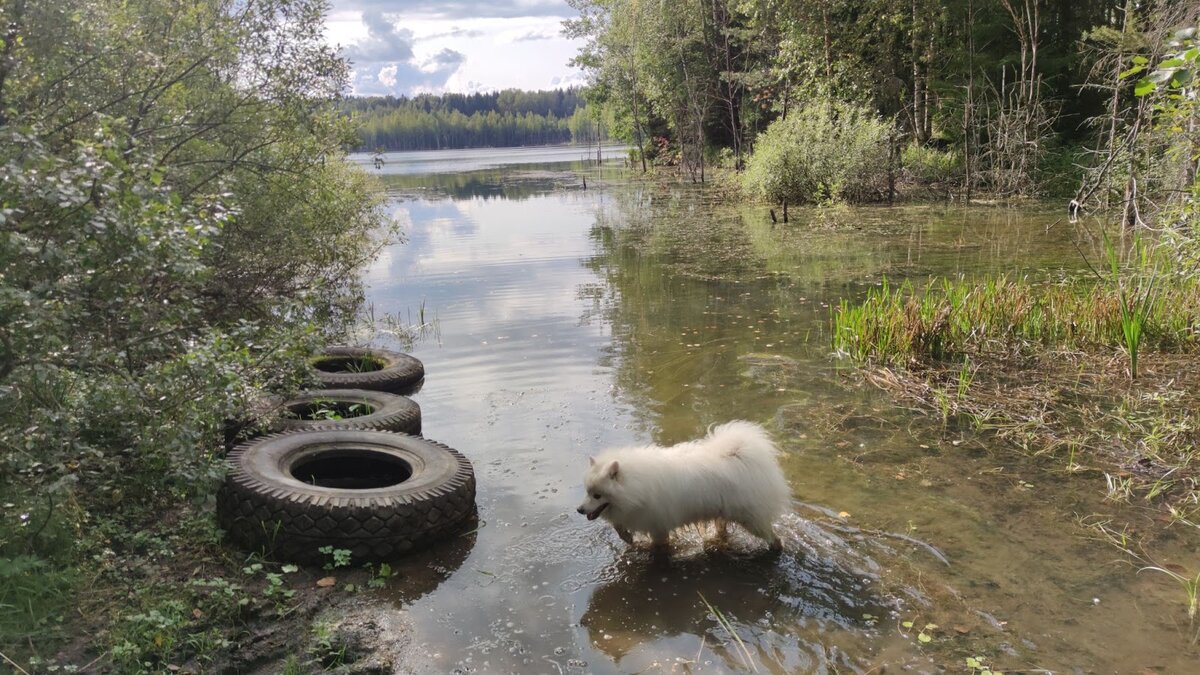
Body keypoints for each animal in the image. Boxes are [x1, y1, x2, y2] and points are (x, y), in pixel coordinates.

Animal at [576, 422, 792, 550]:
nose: (579, 510)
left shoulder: (657, 525)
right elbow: (619, 526)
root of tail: (738, 455)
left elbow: (657, 544)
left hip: (750, 518)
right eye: (587, 492)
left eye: (597, 495)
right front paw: (627, 537)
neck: (635, 487)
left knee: (774, 538)